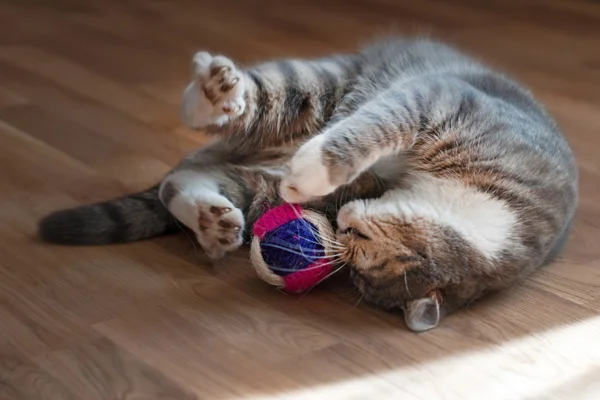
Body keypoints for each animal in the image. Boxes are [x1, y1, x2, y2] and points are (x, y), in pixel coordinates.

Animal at [37, 37, 576, 332]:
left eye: (358, 258)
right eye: (359, 241)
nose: (342, 227)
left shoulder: (356, 187)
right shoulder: (443, 101)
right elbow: (374, 125)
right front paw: (316, 165)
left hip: (253, 181)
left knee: (183, 181)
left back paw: (212, 222)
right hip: (320, 85)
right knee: (255, 98)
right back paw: (212, 93)